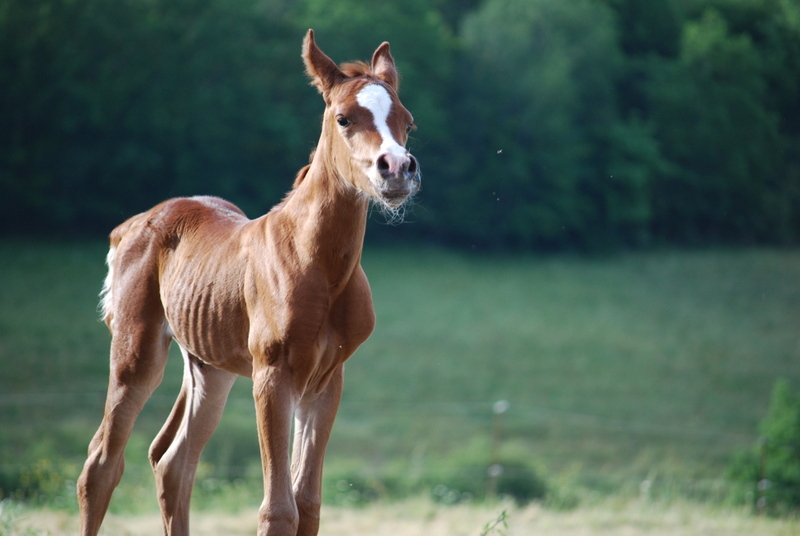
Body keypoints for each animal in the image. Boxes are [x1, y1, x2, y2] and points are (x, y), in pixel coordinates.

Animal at [78, 30, 422, 536]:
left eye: (407, 123)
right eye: (344, 118)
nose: (397, 168)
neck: (317, 263)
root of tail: (133, 225)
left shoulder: (327, 380)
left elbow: (308, 505)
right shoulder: (272, 374)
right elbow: (278, 509)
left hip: (209, 365)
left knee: (172, 461)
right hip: (135, 351)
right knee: (101, 464)